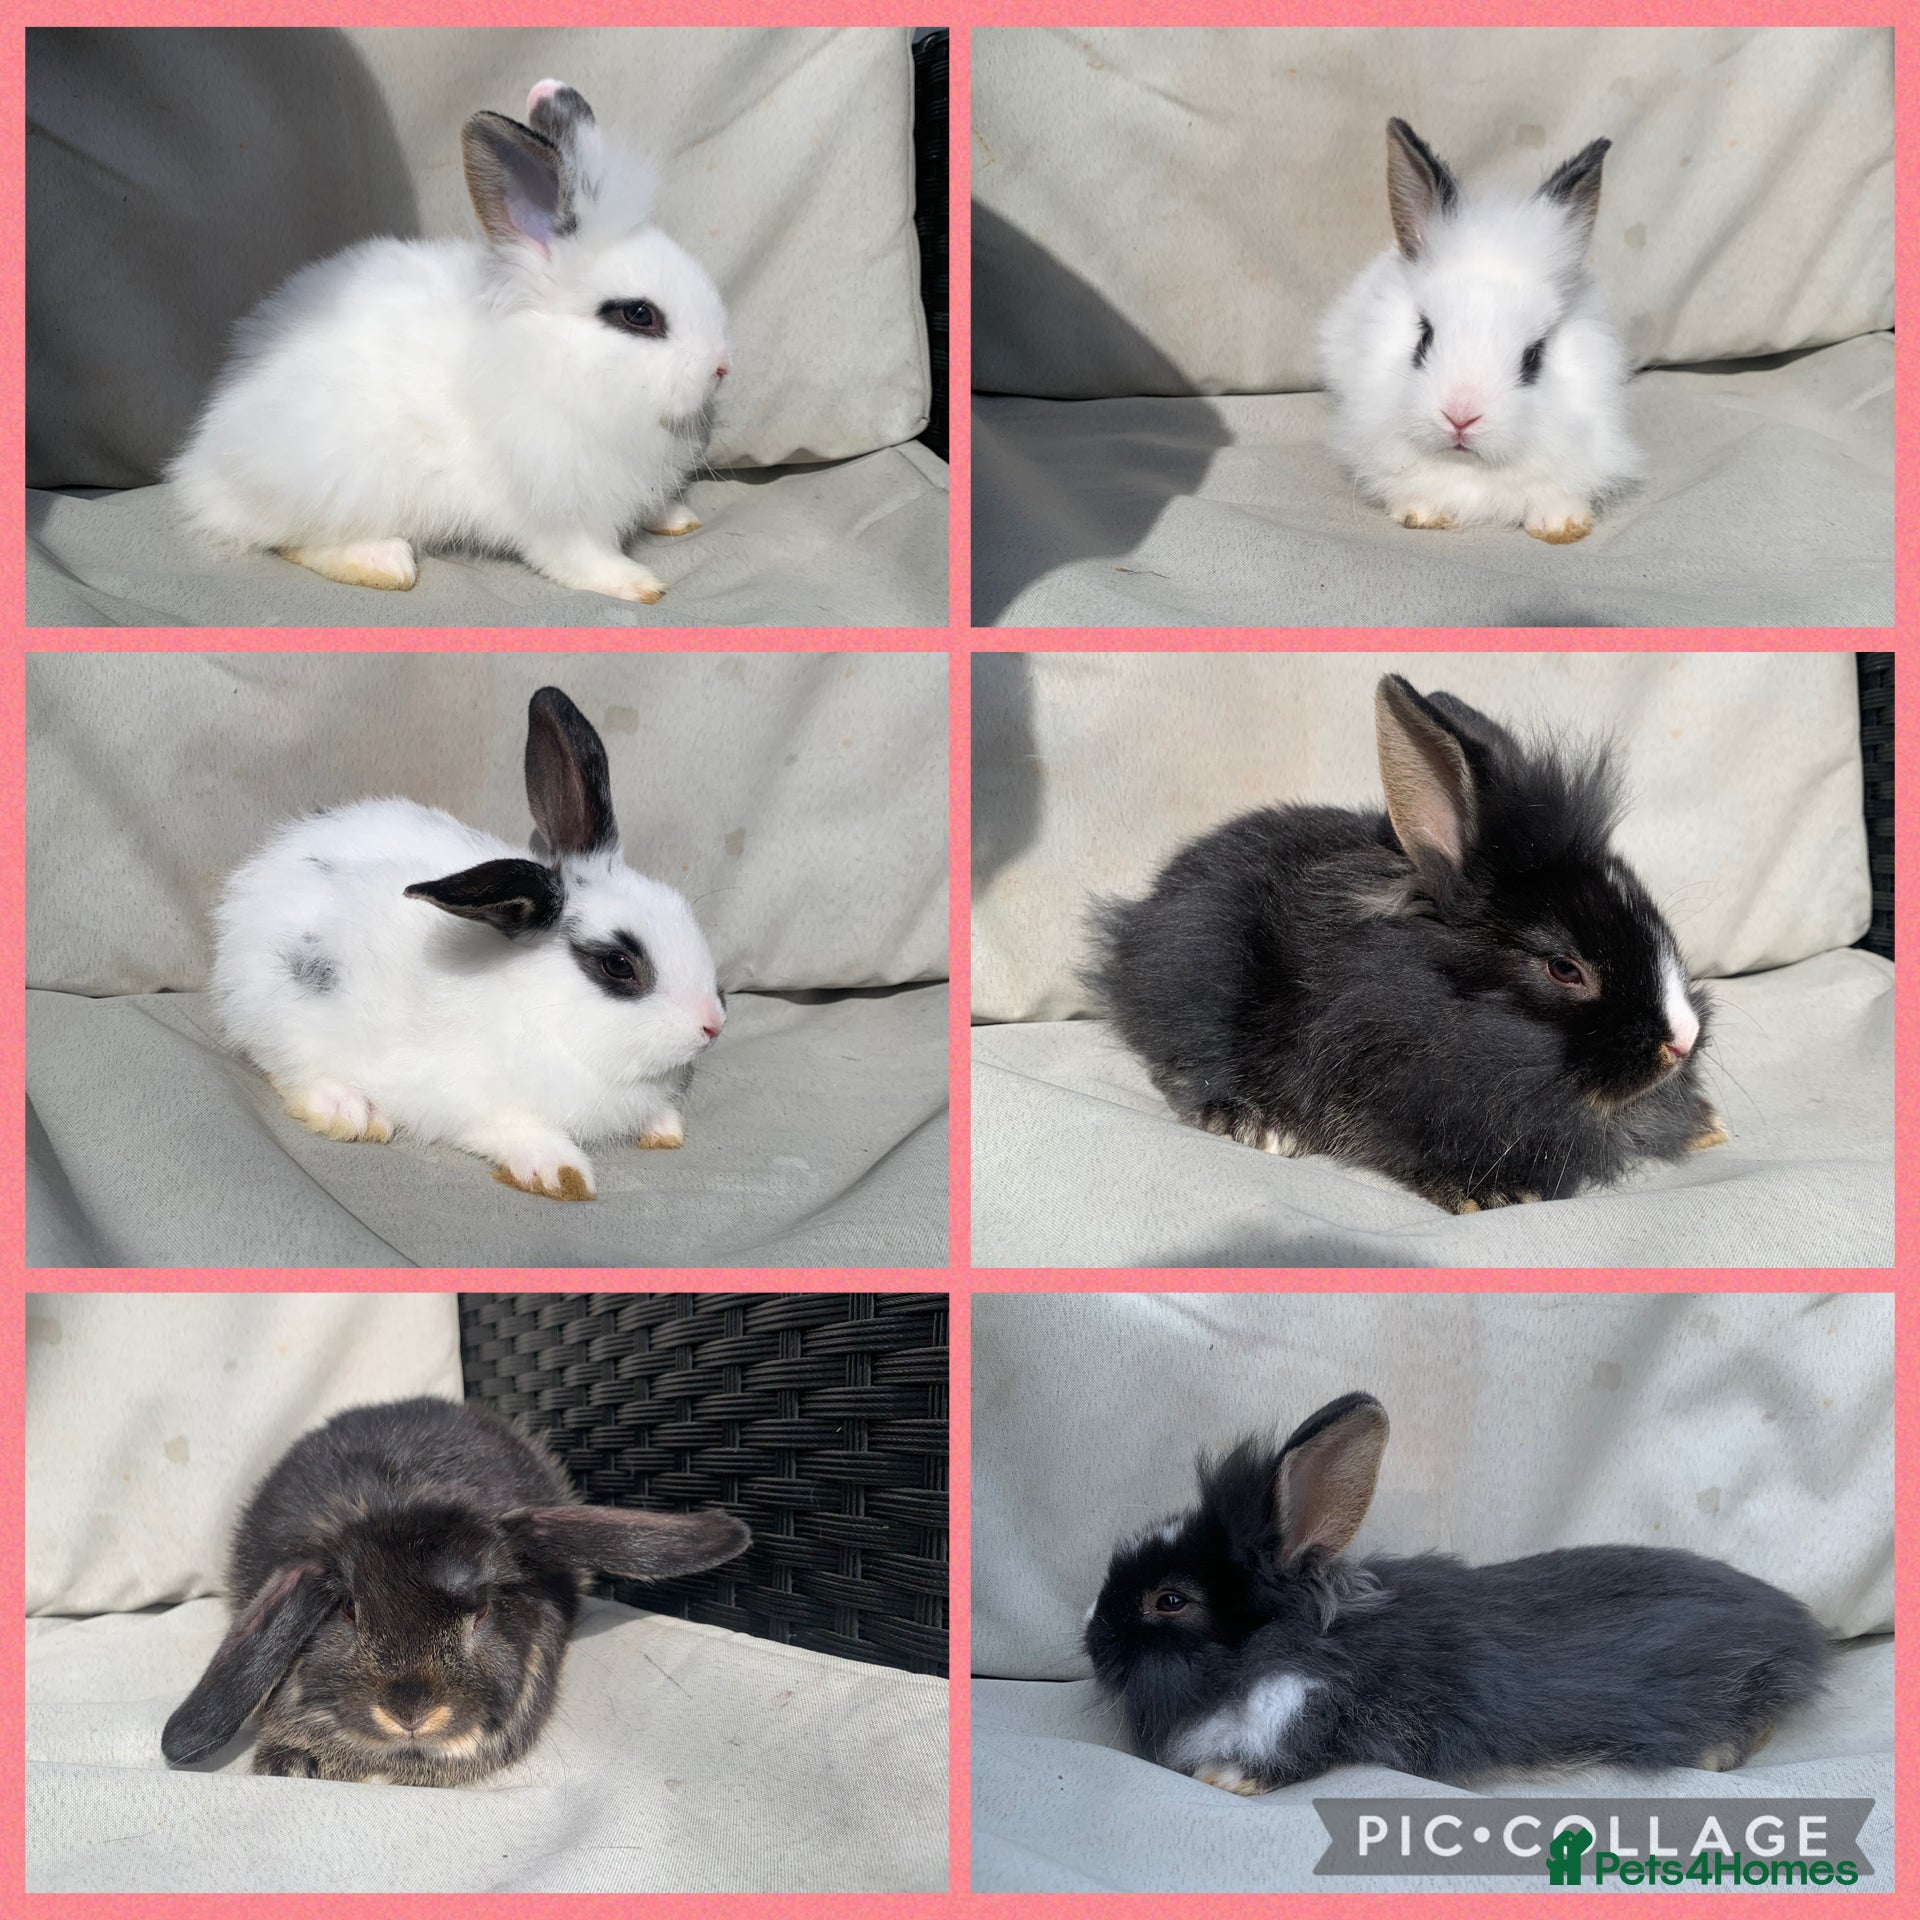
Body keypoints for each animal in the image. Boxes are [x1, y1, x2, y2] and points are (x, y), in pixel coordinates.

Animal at [169, 79, 731, 603]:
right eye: (638, 315)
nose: (722, 366)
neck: (550, 356)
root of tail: (203, 465)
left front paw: (677, 518)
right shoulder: (552, 502)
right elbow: (577, 555)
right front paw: (637, 584)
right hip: (343, 481)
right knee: (292, 539)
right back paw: (384, 563)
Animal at [211, 684, 727, 1201]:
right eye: (617, 964)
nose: (713, 1025)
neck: (542, 1008)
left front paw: (664, 1128)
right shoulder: (472, 1101)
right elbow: (515, 1130)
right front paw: (560, 1174)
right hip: (288, 1009)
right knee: (287, 1064)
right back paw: (352, 1113)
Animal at [1085, 1391, 1829, 1795]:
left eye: (1170, 1601)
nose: (1092, 1640)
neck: (1283, 1645)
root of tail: (1802, 1630)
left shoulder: (1306, 1712)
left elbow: (1286, 1761)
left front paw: (1221, 1779)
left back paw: (1715, 1753)